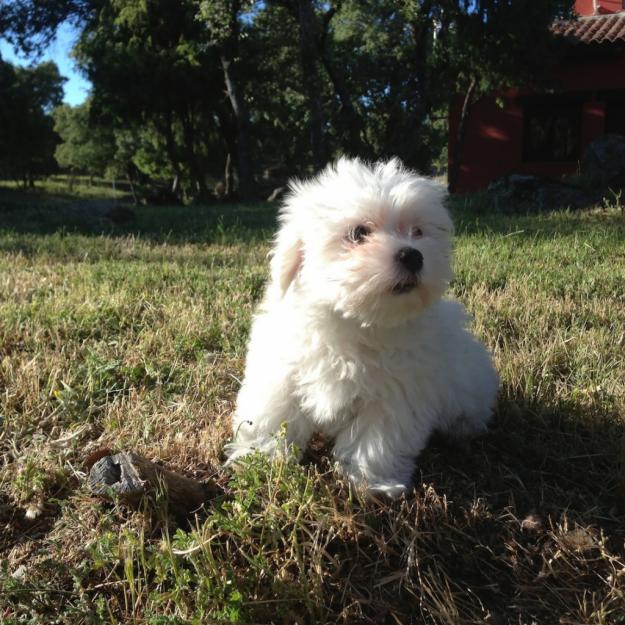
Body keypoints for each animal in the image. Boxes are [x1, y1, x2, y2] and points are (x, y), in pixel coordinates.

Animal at [224, 157, 498, 498]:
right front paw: (258, 459)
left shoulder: (394, 395)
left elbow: (376, 441)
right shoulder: (282, 372)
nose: (413, 254)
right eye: (358, 233)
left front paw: (371, 482)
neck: (354, 322)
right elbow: (272, 414)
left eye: (418, 231)